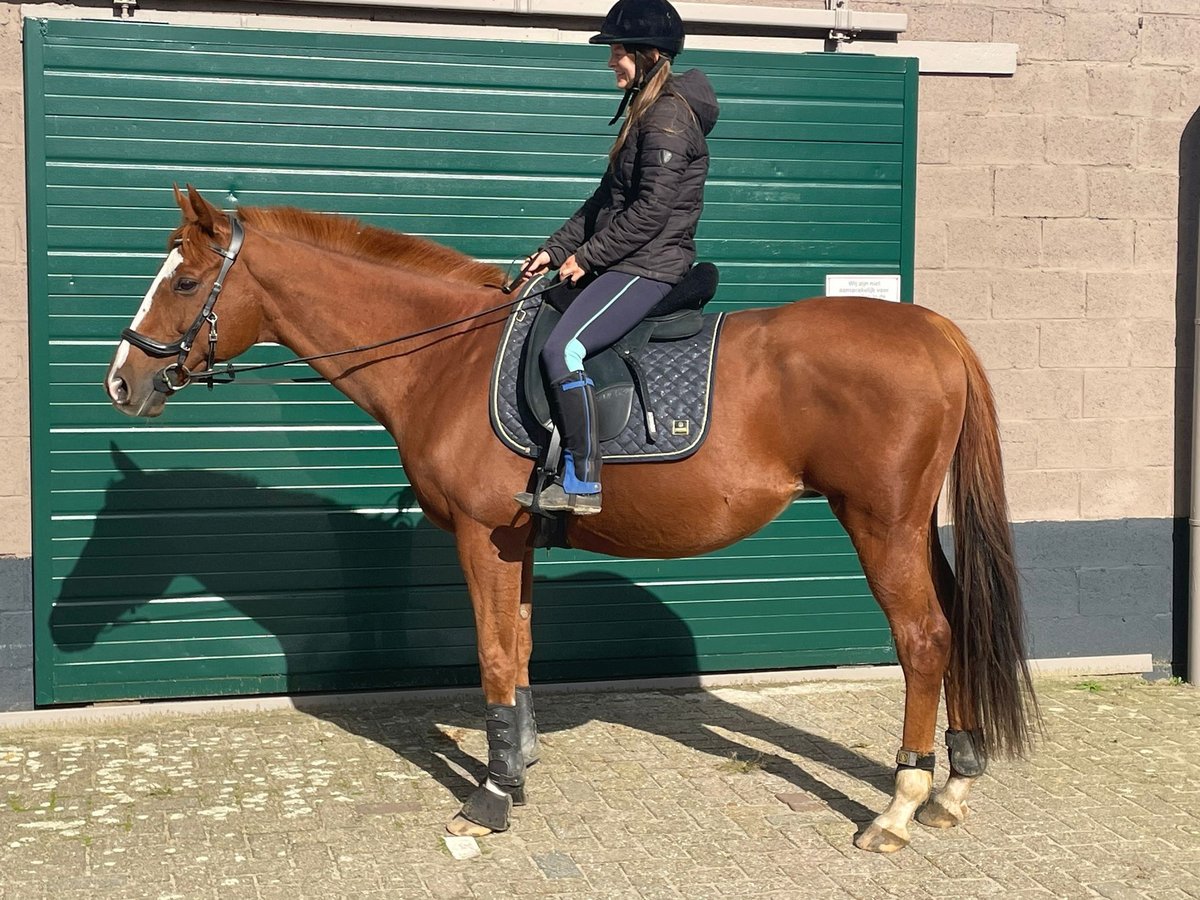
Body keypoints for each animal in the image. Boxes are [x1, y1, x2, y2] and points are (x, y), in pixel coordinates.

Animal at [105, 188, 1041, 854]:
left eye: (185, 282)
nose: (121, 381)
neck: (445, 356)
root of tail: (934, 330)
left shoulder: (480, 536)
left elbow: (491, 657)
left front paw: (488, 799)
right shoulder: (514, 540)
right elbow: (519, 650)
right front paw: (518, 764)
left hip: (880, 524)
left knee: (923, 637)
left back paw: (900, 804)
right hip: (913, 527)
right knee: (956, 623)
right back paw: (954, 784)